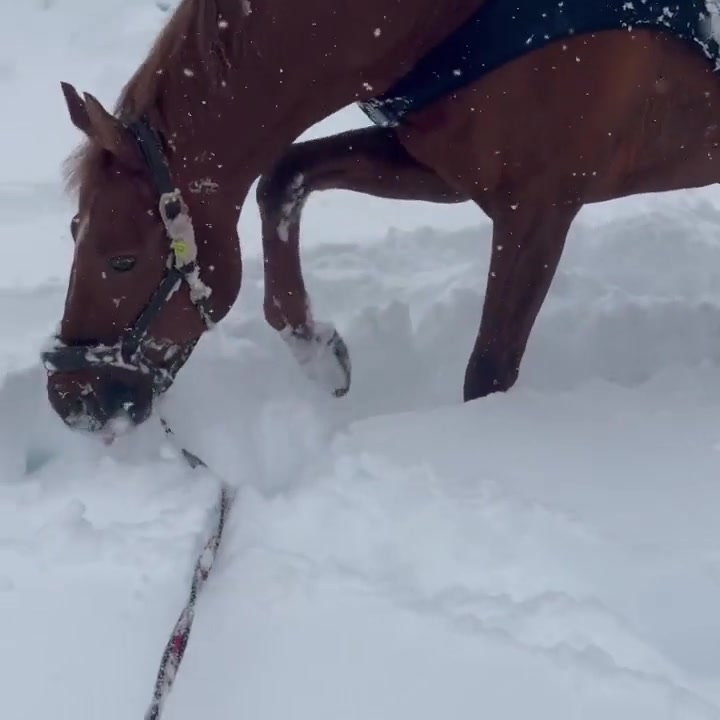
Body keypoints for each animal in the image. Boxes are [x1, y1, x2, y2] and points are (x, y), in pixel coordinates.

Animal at [40, 0, 720, 434]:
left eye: (122, 260)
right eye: (72, 233)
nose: (68, 399)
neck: (450, 16)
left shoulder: (538, 207)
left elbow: (489, 370)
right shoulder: (438, 167)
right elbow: (284, 177)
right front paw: (317, 353)